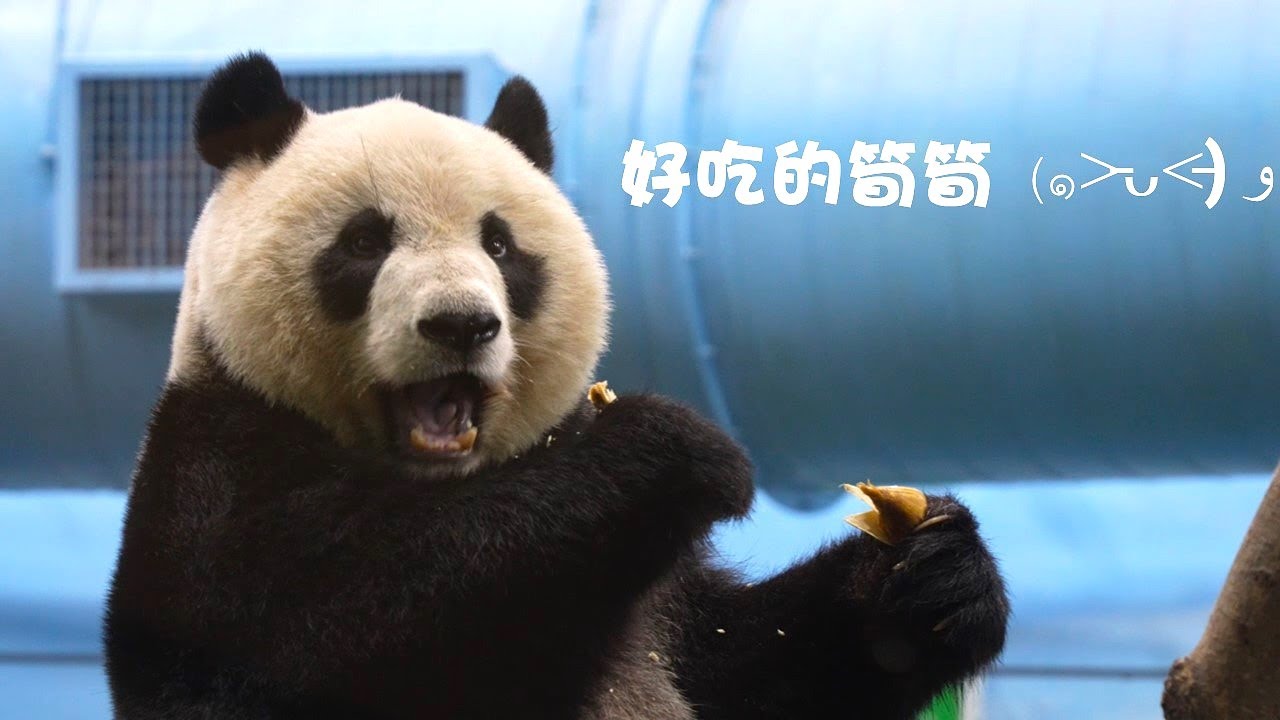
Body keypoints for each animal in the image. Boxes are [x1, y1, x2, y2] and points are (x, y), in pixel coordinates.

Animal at [104, 52, 1009, 720]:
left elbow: (740, 666)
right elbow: (326, 630)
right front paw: (672, 453)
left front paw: (930, 577)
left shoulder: (659, 604)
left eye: (500, 246)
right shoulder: (218, 465)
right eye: (364, 241)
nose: (461, 325)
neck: (442, 479)